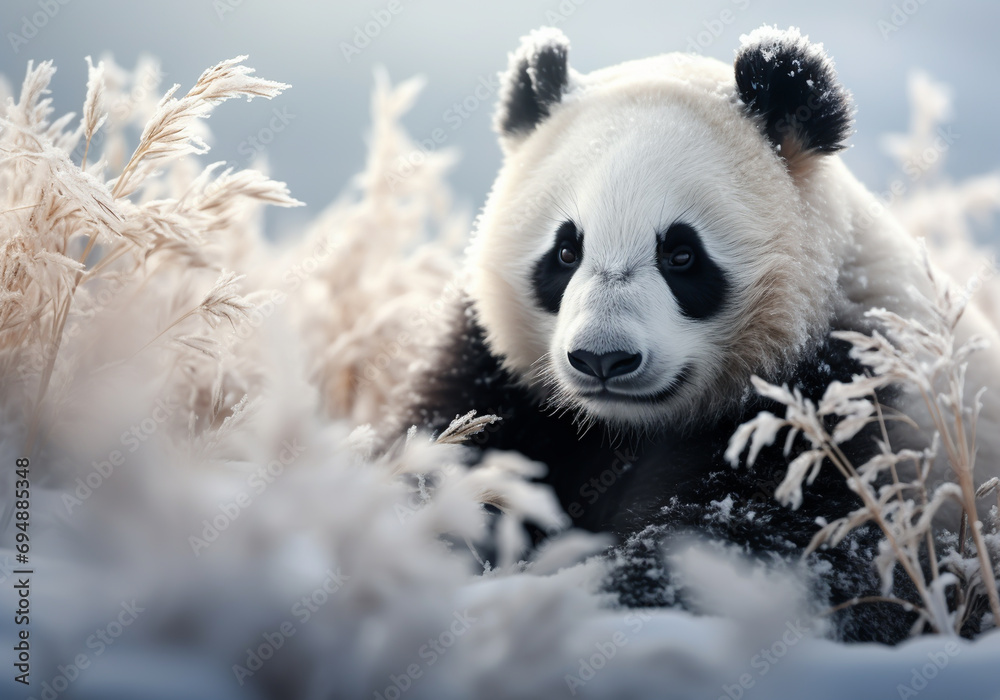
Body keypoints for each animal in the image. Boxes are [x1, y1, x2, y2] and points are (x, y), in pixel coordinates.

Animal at [392, 26, 1000, 643]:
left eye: (681, 254)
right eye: (565, 252)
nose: (603, 359)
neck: (627, 427)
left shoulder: (849, 394)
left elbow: (767, 545)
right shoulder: (497, 375)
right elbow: (451, 465)